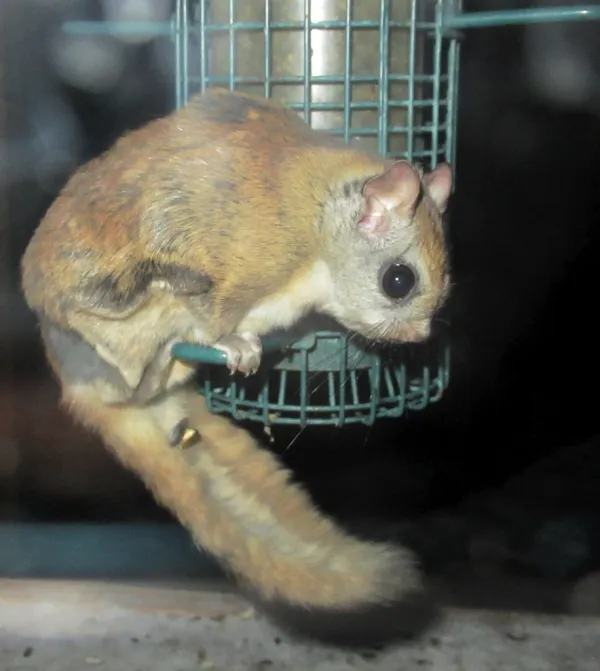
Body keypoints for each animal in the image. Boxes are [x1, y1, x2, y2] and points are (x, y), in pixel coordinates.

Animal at [21, 88, 453, 647]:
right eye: (399, 280)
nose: (420, 338)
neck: (317, 223)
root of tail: (75, 381)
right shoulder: (249, 266)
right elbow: (217, 315)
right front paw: (232, 341)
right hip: (114, 313)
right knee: (138, 357)